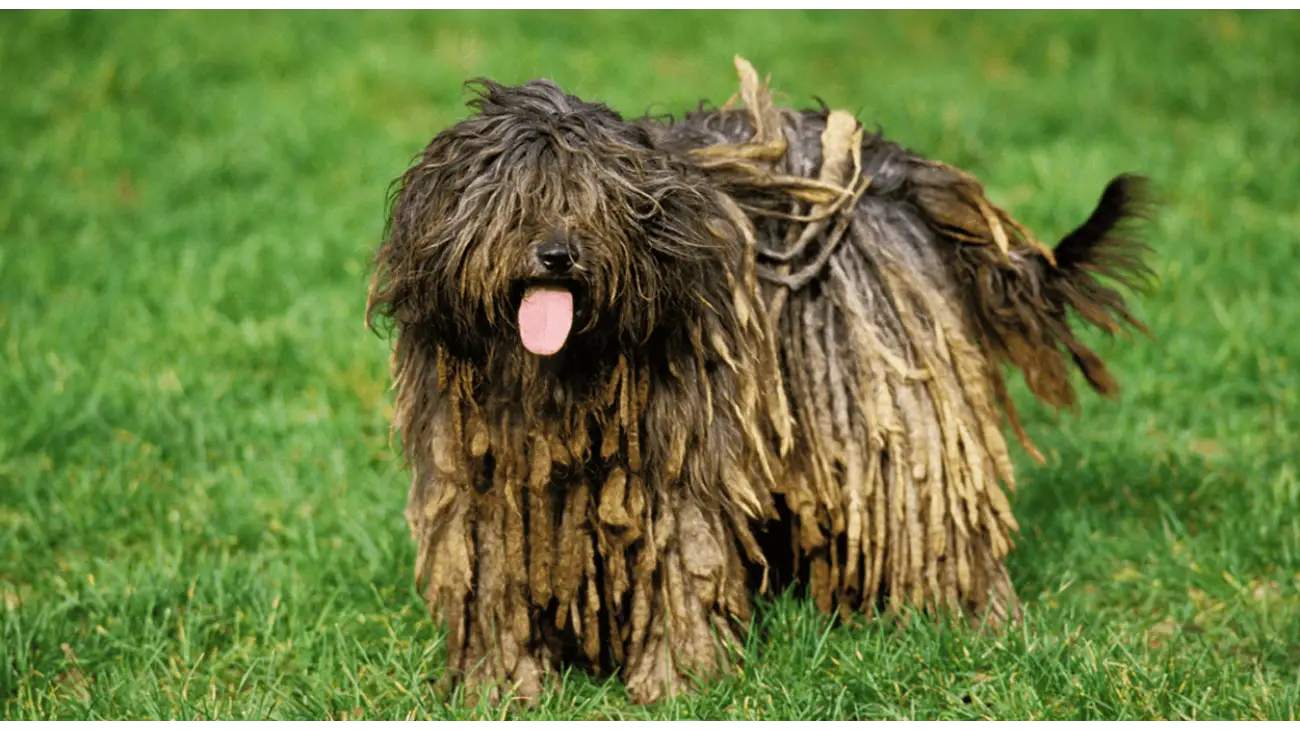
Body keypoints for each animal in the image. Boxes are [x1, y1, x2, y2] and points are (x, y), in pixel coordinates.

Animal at [366, 58, 1159, 706]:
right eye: (514, 200)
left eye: (595, 201)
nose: (558, 254)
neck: (564, 375)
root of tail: (896, 173)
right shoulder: (485, 477)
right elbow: (491, 572)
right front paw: (501, 686)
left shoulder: (677, 460)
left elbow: (681, 559)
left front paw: (675, 682)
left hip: (884, 388)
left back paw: (959, 620)